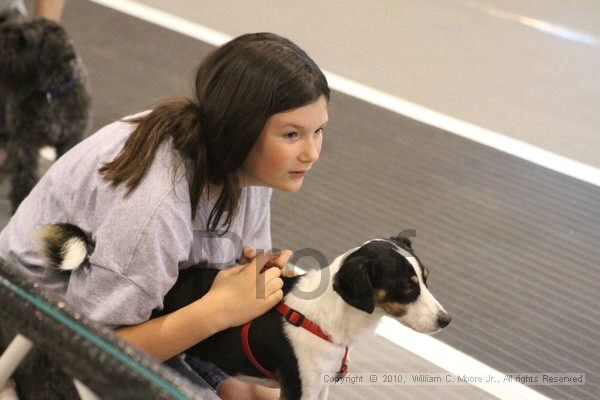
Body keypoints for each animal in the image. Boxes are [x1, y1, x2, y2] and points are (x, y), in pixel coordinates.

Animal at [0, 17, 91, 214]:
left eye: (24, 40)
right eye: (9, 29)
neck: (52, 92)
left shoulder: (71, 138)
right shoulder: (26, 142)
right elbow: (26, 172)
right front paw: (21, 198)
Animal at [38, 225, 450, 400]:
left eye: (427, 278)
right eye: (407, 286)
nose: (446, 320)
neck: (327, 320)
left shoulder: (320, 389)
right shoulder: (298, 389)